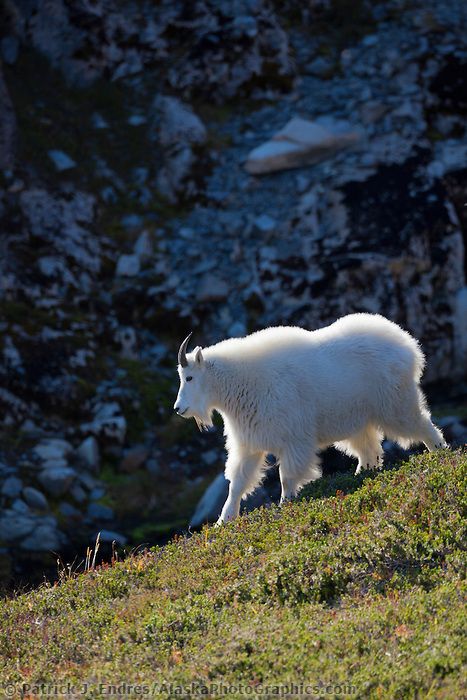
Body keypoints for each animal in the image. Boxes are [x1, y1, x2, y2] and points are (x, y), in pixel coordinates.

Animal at [174, 314, 448, 524]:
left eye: (189, 377)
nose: (179, 408)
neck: (242, 383)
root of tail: (408, 346)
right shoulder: (249, 442)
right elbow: (237, 482)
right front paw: (224, 521)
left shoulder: (294, 439)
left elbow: (287, 477)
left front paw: (285, 505)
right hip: (358, 420)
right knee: (369, 450)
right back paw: (360, 476)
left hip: (395, 404)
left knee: (422, 424)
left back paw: (441, 454)